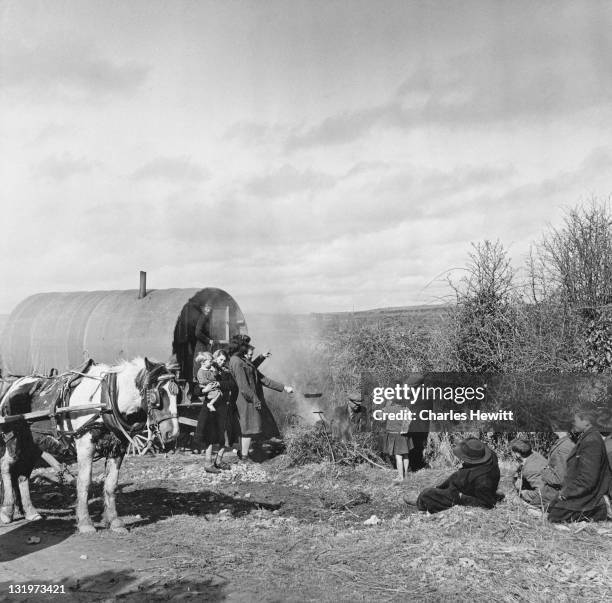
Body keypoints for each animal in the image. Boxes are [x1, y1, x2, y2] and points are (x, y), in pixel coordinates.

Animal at [1, 358, 179, 532]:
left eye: (178, 393)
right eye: (157, 396)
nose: (173, 433)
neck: (105, 399)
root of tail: (13, 386)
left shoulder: (117, 448)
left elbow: (111, 484)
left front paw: (115, 522)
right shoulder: (85, 445)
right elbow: (84, 482)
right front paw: (85, 523)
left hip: (34, 445)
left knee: (23, 474)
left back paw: (30, 512)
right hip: (14, 440)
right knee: (6, 466)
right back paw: (7, 511)